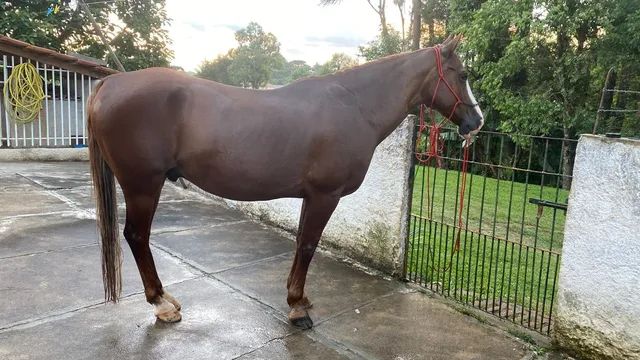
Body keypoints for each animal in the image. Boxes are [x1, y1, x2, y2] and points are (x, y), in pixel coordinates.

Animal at [87, 35, 482, 330]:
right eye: (462, 74)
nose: (476, 122)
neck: (355, 106)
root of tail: (112, 81)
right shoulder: (325, 195)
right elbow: (308, 245)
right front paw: (297, 310)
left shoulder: (310, 196)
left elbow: (300, 243)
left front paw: (298, 298)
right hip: (142, 185)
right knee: (136, 237)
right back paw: (162, 304)